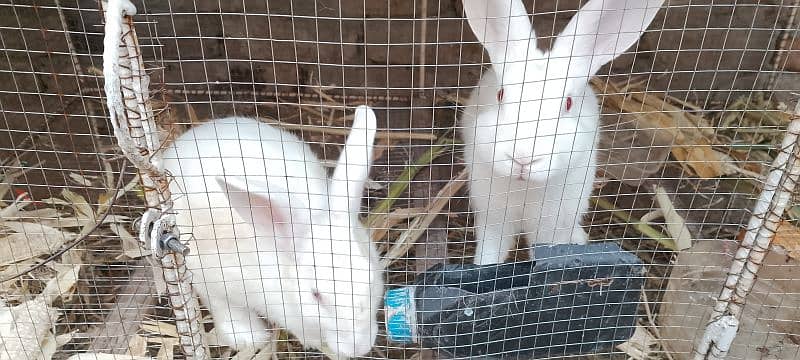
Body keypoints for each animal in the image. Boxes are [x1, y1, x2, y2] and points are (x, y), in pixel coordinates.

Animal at [460, 0, 664, 264]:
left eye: (567, 103)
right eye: (500, 94)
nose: (523, 158)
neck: (525, 188)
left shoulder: (550, 226)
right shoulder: (492, 218)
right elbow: (489, 253)